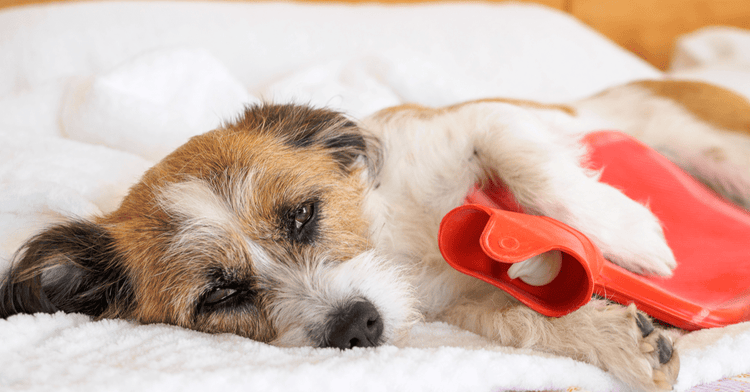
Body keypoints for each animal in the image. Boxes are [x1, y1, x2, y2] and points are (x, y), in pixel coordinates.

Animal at [1, 79, 750, 388]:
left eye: (303, 214)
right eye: (219, 295)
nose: (356, 325)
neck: (401, 249)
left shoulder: (482, 120)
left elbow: (527, 160)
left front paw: (631, 234)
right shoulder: (463, 305)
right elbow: (522, 321)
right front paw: (623, 340)